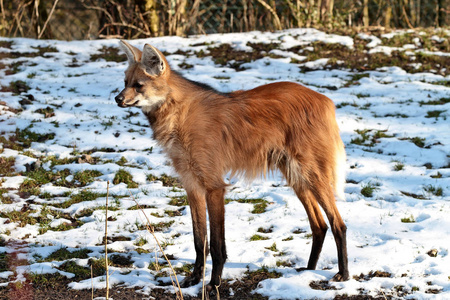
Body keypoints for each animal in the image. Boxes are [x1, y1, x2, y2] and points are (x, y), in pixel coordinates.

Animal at [115, 40, 348, 296]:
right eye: (125, 82)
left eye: (139, 85)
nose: (117, 99)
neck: (178, 116)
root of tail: (325, 100)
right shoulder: (191, 185)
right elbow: (199, 240)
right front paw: (194, 279)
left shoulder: (214, 186)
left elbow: (217, 245)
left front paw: (213, 285)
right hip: (296, 177)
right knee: (319, 225)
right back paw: (307, 270)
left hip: (311, 174)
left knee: (338, 224)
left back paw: (343, 274)